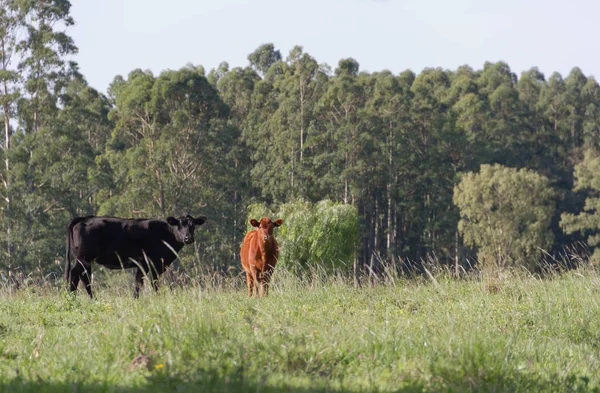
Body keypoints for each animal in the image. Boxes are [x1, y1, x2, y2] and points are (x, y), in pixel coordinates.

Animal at [65, 214, 206, 298]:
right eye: (179, 225)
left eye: (193, 225)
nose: (188, 238)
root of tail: (84, 218)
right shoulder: (153, 263)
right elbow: (153, 282)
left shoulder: (144, 264)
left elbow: (139, 282)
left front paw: (135, 299)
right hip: (84, 258)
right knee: (76, 274)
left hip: (85, 260)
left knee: (83, 277)